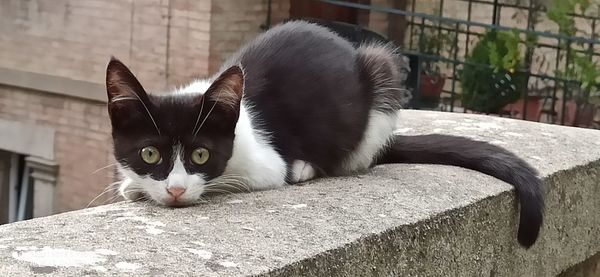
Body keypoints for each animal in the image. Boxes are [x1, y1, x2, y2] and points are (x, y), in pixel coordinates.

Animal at [106, 20, 544, 247]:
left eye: (200, 155)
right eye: (149, 154)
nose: (176, 190)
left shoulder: (265, 163)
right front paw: (133, 187)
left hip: (381, 73)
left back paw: (308, 168)